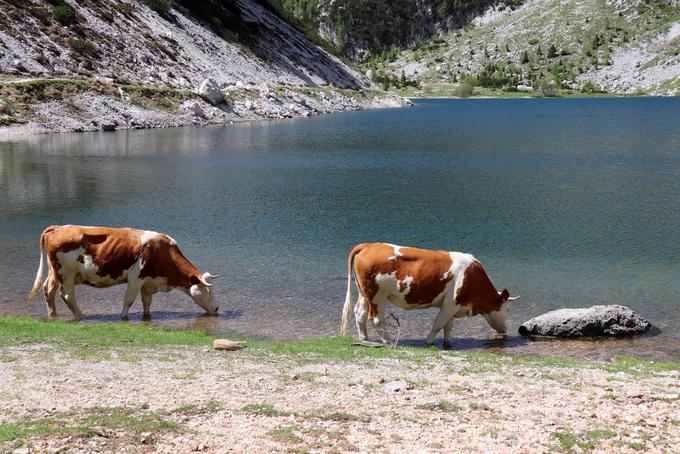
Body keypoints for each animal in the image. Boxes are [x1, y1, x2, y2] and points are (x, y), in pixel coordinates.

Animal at [27, 224, 219, 320]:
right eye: (208, 290)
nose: (217, 308)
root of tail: (58, 227)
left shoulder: (147, 282)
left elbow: (147, 302)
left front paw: (147, 316)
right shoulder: (136, 278)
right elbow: (129, 300)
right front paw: (123, 316)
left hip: (55, 272)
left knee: (48, 290)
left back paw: (53, 315)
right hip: (66, 273)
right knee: (67, 295)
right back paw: (81, 316)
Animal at [340, 245, 520, 348]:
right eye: (507, 309)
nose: (505, 330)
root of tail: (367, 246)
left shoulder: (453, 305)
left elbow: (448, 326)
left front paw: (449, 343)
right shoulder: (451, 304)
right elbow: (438, 324)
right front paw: (429, 341)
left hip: (365, 293)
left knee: (360, 313)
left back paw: (364, 338)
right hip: (377, 296)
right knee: (376, 319)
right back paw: (388, 341)